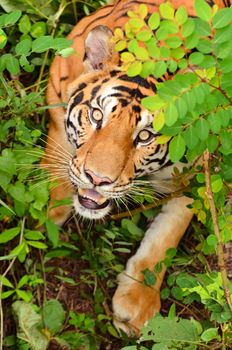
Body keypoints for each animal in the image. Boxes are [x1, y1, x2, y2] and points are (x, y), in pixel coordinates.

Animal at [42, 0, 231, 336]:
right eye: (96, 115)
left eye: (144, 136)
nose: (97, 179)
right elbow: (60, 151)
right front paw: (49, 211)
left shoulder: (193, 171)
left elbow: (166, 237)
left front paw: (137, 303)